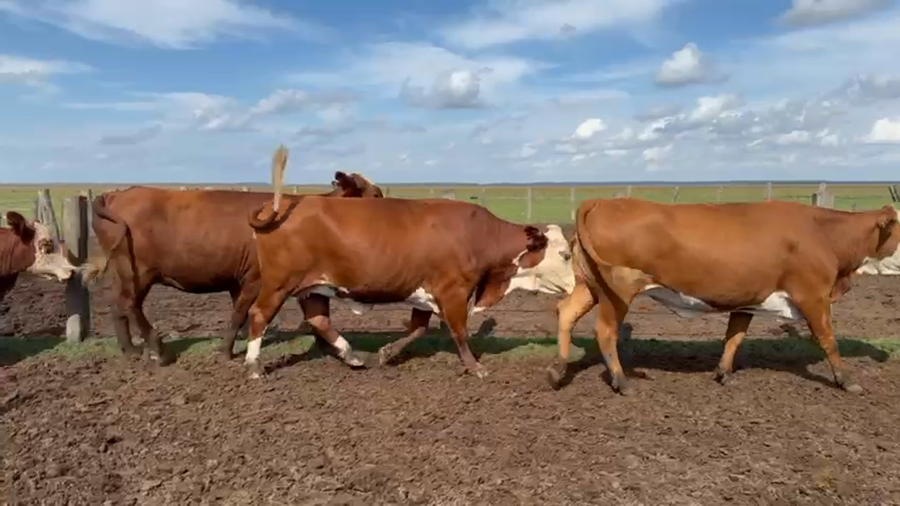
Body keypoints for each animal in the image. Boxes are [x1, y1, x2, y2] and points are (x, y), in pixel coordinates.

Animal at [80, 147, 384, 364]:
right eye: (375, 195)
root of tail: (117, 194)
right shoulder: (256, 280)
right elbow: (240, 314)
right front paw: (227, 353)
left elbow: (316, 318)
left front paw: (336, 351)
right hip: (139, 272)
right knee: (131, 305)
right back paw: (160, 350)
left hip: (124, 272)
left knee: (118, 306)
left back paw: (130, 351)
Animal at [239, 155, 576, 380]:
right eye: (565, 254)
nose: (576, 285)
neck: (479, 236)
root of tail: (286, 204)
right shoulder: (453, 292)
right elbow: (459, 331)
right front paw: (474, 366)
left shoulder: (426, 292)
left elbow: (418, 329)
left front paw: (387, 353)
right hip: (279, 284)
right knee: (259, 316)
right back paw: (254, 366)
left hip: (314, 287)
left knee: (318, 319)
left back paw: (352, 356)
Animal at [547, 198, 900, 396]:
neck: (823, 233)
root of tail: (604, 200)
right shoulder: (813, 296)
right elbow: (829, 340)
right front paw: (846, 380)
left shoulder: (748, 298)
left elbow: (735, 337)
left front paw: (724, 373)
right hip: (617, 292)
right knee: (606, 332)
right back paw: (622, 382)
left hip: (590, 286)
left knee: (566, 312)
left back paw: (558, 370)